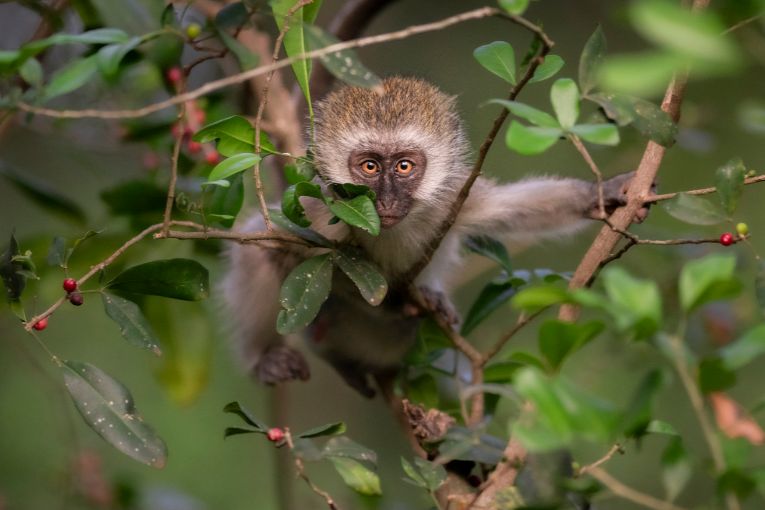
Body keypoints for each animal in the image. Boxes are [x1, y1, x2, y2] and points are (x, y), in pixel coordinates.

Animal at [223, 76, 649, 397]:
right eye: (370, 167)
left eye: (404, 166)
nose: (386, 200)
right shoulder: (323, 215)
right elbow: (259, 246)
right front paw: (263, 357)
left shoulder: (452, 200)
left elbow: (510, 208)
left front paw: (603, 195)